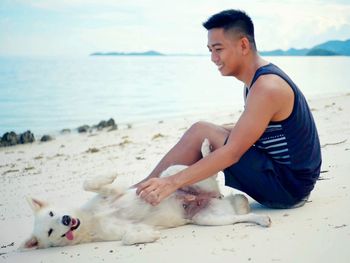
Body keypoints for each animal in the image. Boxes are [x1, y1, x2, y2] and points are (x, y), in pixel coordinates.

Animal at [21, 139, 272, 251]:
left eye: (52, 213)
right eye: (51, 231)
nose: (65, 220)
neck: (90, 220)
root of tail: (213, 198)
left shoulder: (113, 193)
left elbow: (89, 183)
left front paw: (110, 174)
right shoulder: (121, 231)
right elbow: (127, 237)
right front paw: (149, 236)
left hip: (175, 173)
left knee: (205, 168)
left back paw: (206, 148)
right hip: (209, 219)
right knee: (241, 217)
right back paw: (260, 219)